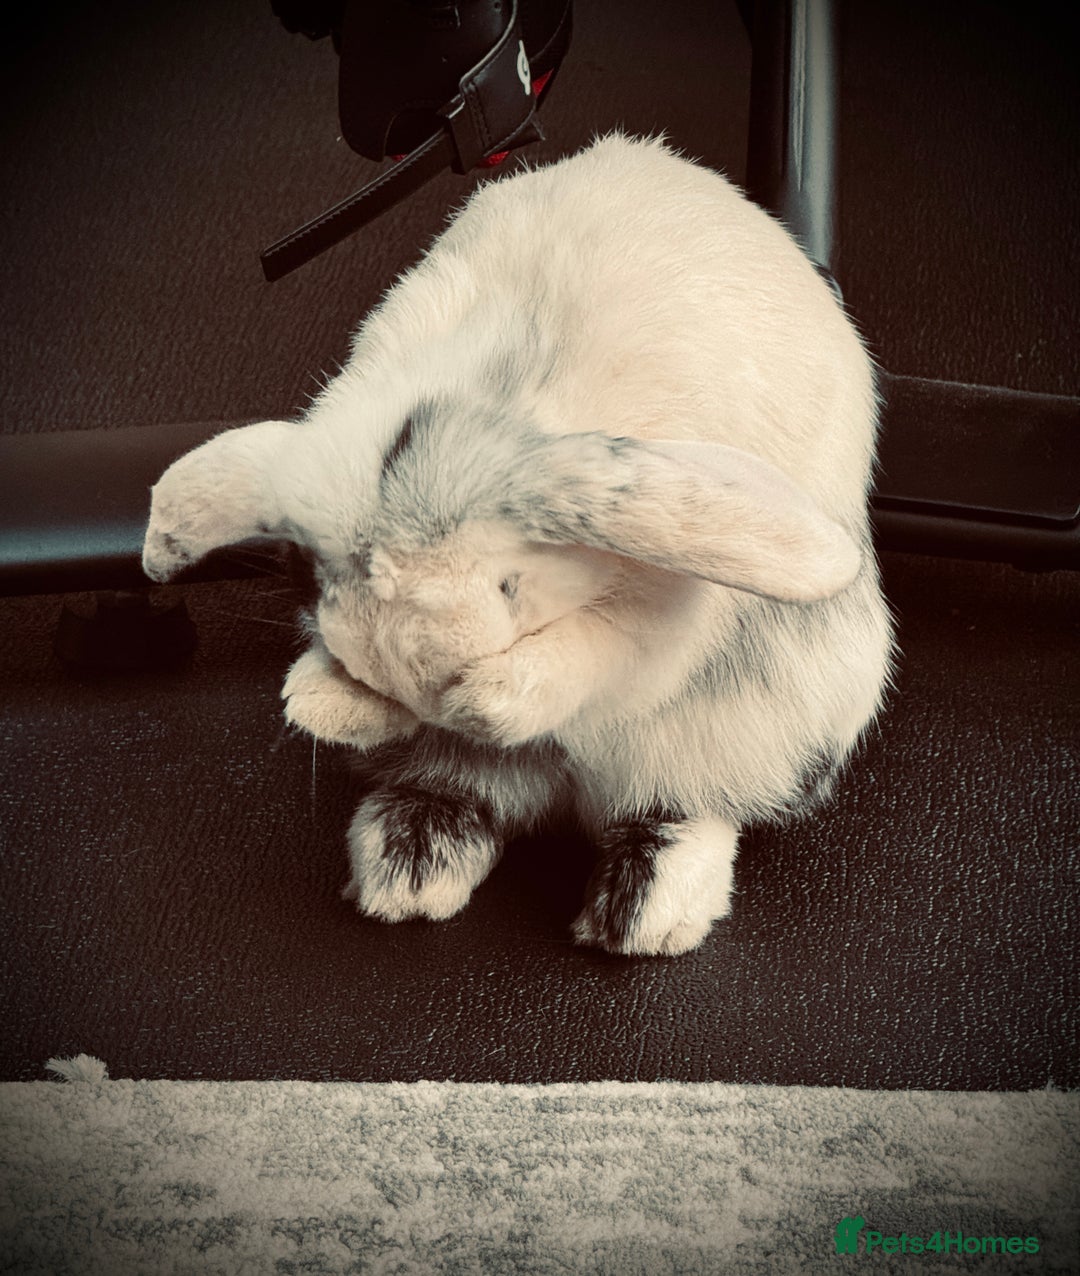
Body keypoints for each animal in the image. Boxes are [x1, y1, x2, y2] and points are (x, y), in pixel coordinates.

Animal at [143, 133, 894, 956]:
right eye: (306, 578)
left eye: (513, 583)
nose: (423, 679)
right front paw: (323, 701)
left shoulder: (663, 623)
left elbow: (597, 655)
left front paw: (488, 698)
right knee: (470, 789)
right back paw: (408, 865)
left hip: (752, 727)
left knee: (680, 803)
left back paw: (639, 915)